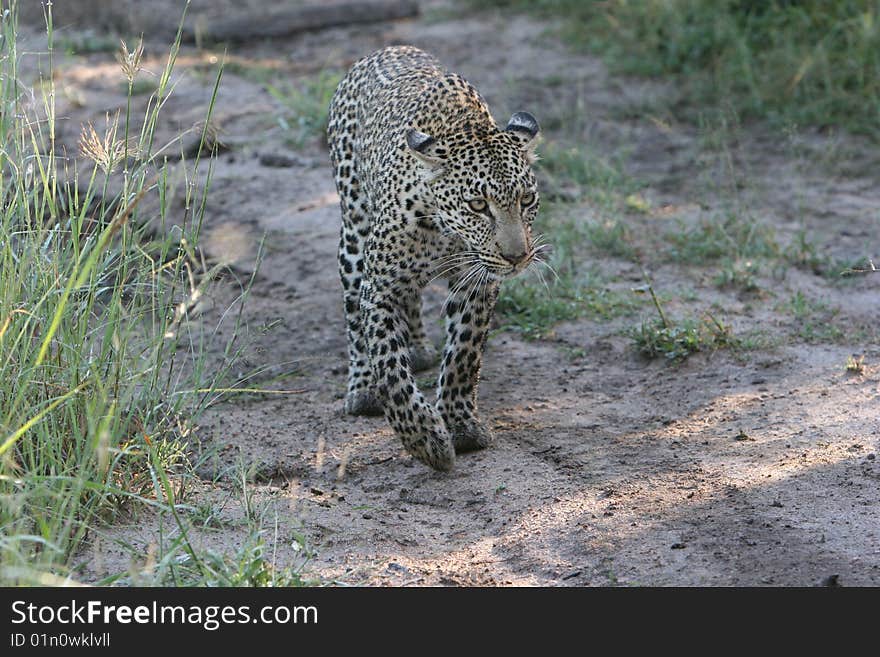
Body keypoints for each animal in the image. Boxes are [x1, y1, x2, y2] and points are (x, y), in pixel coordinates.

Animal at [326, 43, 540, 468]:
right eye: (478, 205)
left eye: (526, 200)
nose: (517, 257)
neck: (445, 233)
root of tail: (390, 47)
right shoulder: (381, 288)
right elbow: (389, 365)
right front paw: (425, 440)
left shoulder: (477, 285)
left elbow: (462, 356)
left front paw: (460, 426)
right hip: (353, 234)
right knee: (354, 319)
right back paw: (361, 388)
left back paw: (420, 348)